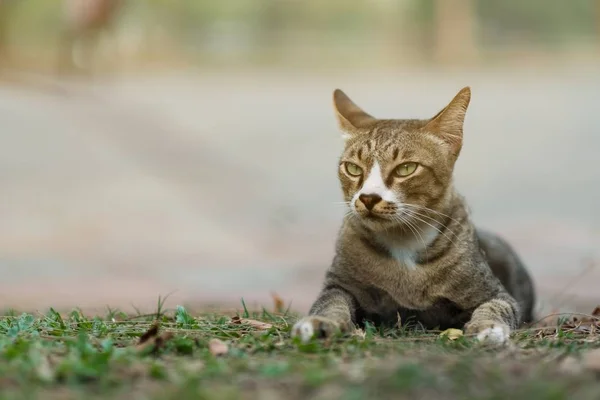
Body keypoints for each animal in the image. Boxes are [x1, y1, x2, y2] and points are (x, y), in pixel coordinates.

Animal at [290, 86, 536, 344]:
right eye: (353, 168)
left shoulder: (493, 292)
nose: (368, 198)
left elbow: (497, 306)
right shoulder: (339, 285)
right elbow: (330, 303)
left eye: (405, 169)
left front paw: (488, 327)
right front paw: (318, 322)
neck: (403, 241)